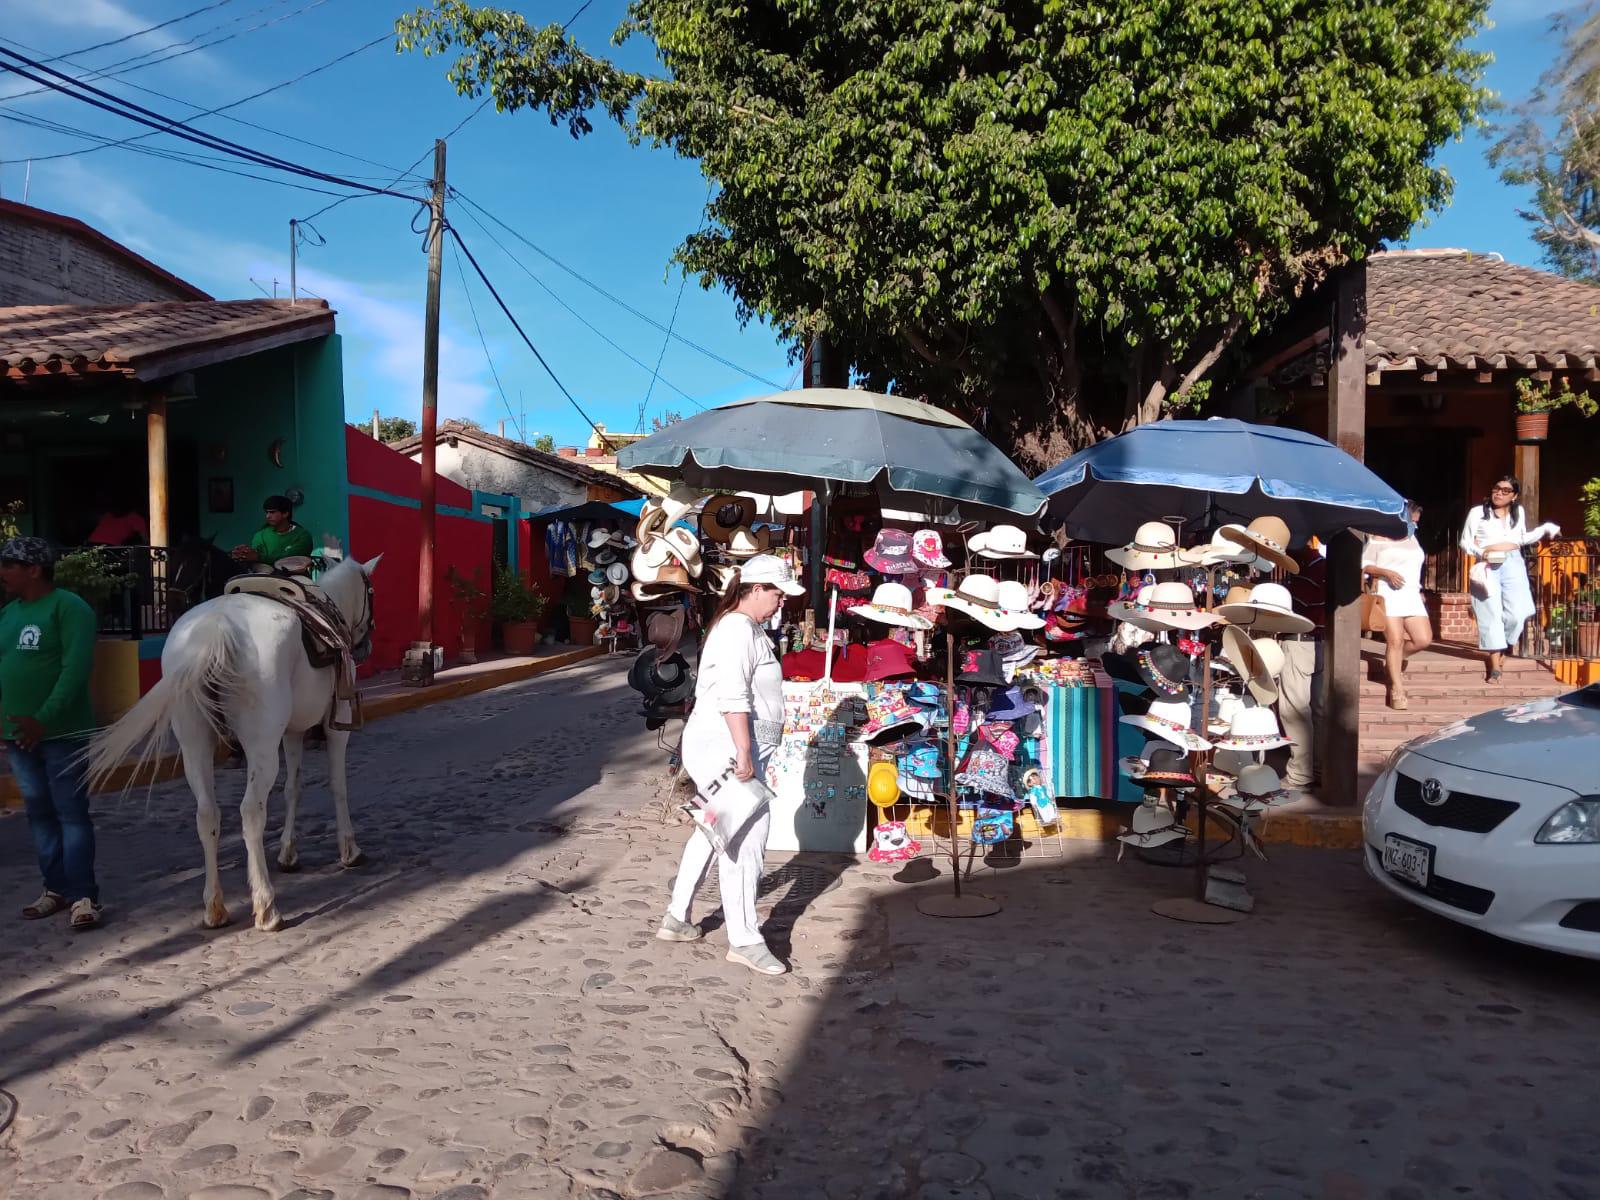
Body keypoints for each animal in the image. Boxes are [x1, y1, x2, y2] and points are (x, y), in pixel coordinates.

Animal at [92, 560, 377, 934]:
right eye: (372, 593)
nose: (366, 644)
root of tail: (215, 627)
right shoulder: (335, 726)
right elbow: (337, 785)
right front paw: (349, 849)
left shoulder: (292, 732)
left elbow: (293, 788)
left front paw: (288, 852)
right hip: (261, 747)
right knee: (251, 812)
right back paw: (267, 907)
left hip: (195, 745)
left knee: (207, 814)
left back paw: (215, 908)